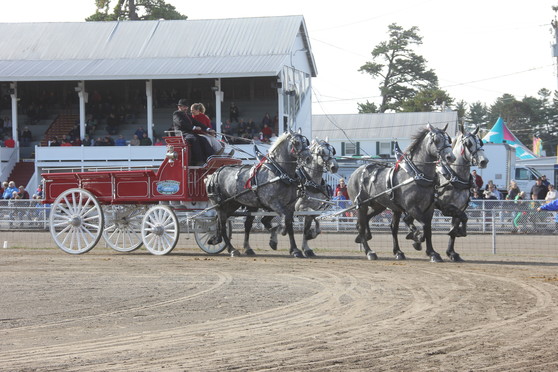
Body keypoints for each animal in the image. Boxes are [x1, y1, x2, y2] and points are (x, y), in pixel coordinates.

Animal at [348, 124, 458, 262]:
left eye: (448, 139)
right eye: (436, 140)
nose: (451, 157)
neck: (417, 174)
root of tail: (355, 173)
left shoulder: (429, 208)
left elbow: (428, 228)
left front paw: (432, 253)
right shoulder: (411, 207)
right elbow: (422, 226)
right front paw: (416, 239)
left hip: (379, 205)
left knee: (379, 224)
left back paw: (397, 251)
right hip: (361, 205)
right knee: (361, 226)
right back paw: (369, 252)